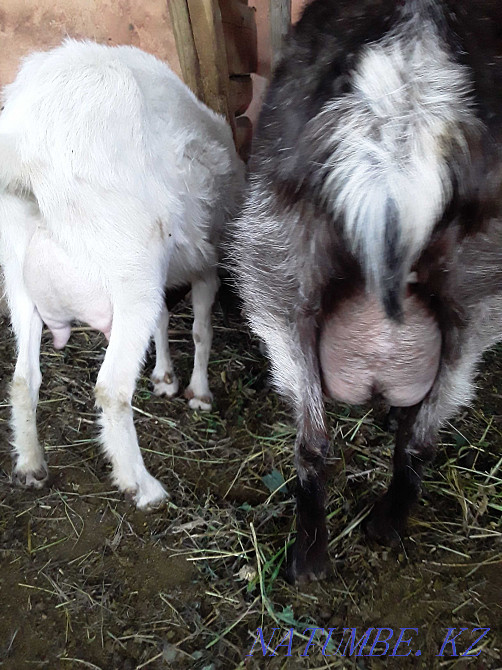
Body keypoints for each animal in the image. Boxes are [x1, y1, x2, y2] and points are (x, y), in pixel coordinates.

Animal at [0, 39, 245, 509]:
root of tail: (25, 151)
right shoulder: (206, 265)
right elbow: (201, 330)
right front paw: (199, 393)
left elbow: (164, 323)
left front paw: (165, 379)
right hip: (133, 268)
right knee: (111, 391)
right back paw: (142, 486)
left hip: (19, 275)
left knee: (23, 378)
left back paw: (31, 464)